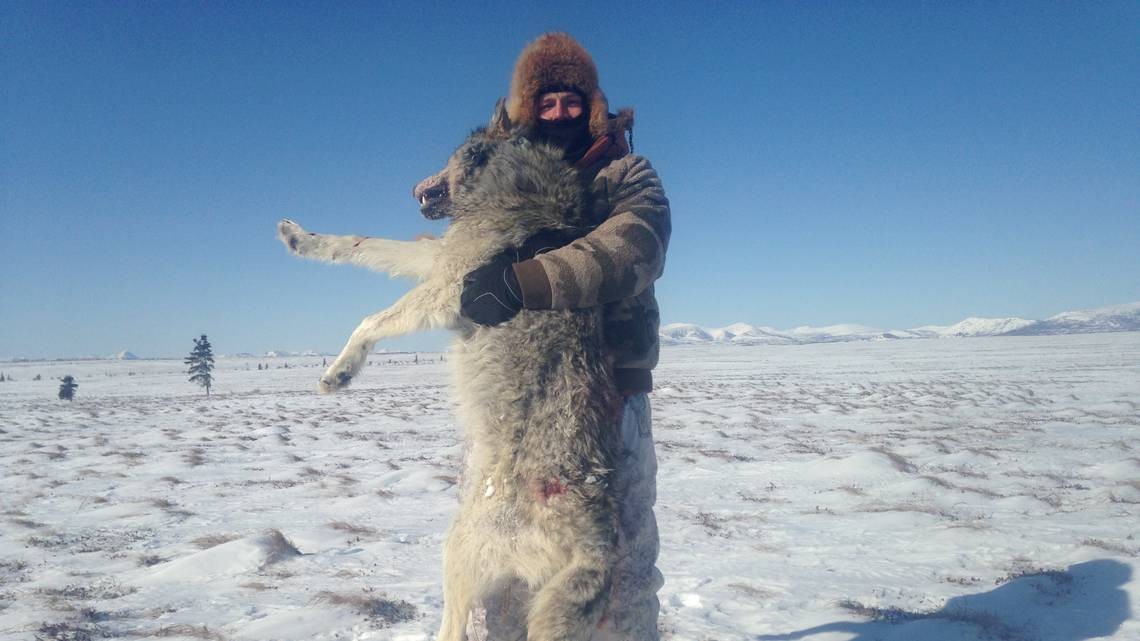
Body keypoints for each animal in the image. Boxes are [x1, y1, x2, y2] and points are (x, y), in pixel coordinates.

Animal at [280, 102, 629, 634]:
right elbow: (360, 243)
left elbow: (369, 319)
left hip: (457, 549)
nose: (413, 186)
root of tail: (596, 551)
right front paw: (300, 238)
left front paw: (339, 373)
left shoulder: (451, 288)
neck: (517, 183)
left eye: (448, 156)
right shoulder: (435, 256)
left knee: (453, 630)